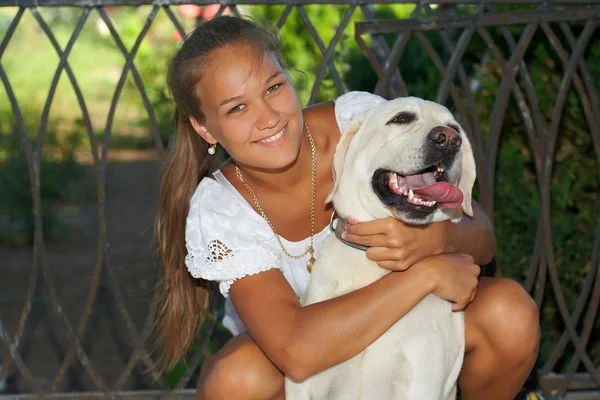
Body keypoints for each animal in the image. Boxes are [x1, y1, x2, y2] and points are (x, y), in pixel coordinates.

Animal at [286, 97, 478, 400]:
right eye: (401, 118)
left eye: (455, 128)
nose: (449, 139)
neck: (375, 269)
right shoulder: (305, 386)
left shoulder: (422, 382)